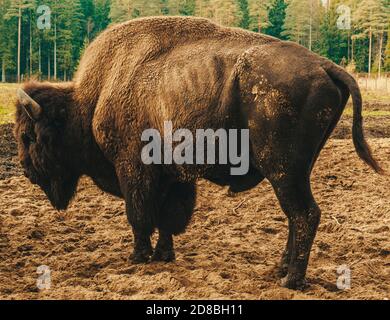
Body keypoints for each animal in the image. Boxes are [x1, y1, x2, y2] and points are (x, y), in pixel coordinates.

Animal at [12, 16, 384, 290]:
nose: (26, 170)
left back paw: (291, 280)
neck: (91, 99)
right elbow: (167, 218)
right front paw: (163, 255)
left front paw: (138, 257)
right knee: (296, 216)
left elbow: (139, 216)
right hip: (297, 170)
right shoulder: (172, 177)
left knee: (305, 213)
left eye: (29, 136)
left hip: (282, 168)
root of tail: (325, 66)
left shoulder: (133, 170)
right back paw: (281, 270)